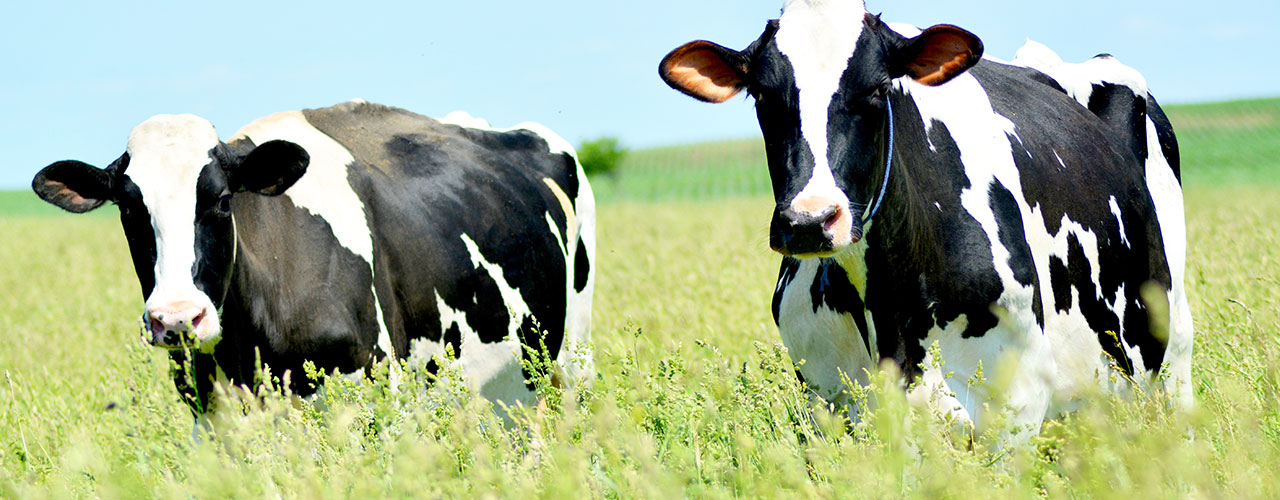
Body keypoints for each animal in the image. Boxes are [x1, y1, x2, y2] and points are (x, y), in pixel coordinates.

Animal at [32, 99, 596, 429]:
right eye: (128, 208)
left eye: (222, 200)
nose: (175, 319)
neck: (250, 345)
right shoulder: (212, 422)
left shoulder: (379, 401)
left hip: (572, 359)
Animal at [660, 0, 1187, 439]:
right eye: (761, 95)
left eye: (878, 88)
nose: (809, 221)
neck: (889, 308)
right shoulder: (830, 404)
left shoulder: (1017, 406)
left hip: (1172, 342)